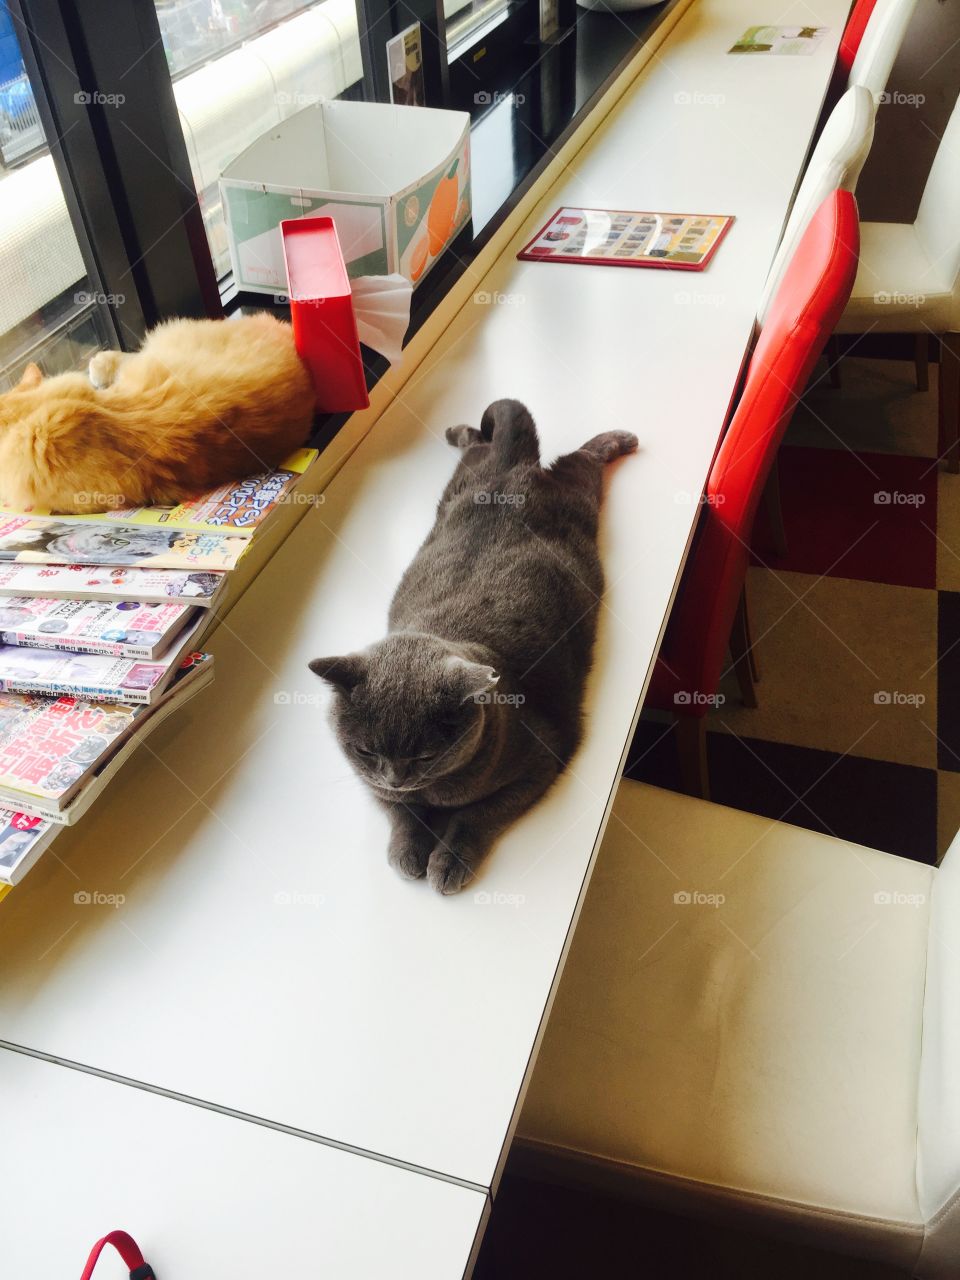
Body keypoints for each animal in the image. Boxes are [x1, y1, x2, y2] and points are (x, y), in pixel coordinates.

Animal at [309, 396, 640, 890]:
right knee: (486, 442)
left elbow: (478, 815)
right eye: (365, 750)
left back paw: (618, 440)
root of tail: (507, 470)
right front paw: (408, 850)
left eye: (426, 754)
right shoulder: (371, 786)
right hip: (466, 475)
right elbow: (400, 813)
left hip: (576, 498)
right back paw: (458, 431)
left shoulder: (541, 762)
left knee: (579, 459)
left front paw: (448, 861)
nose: (396, 777)